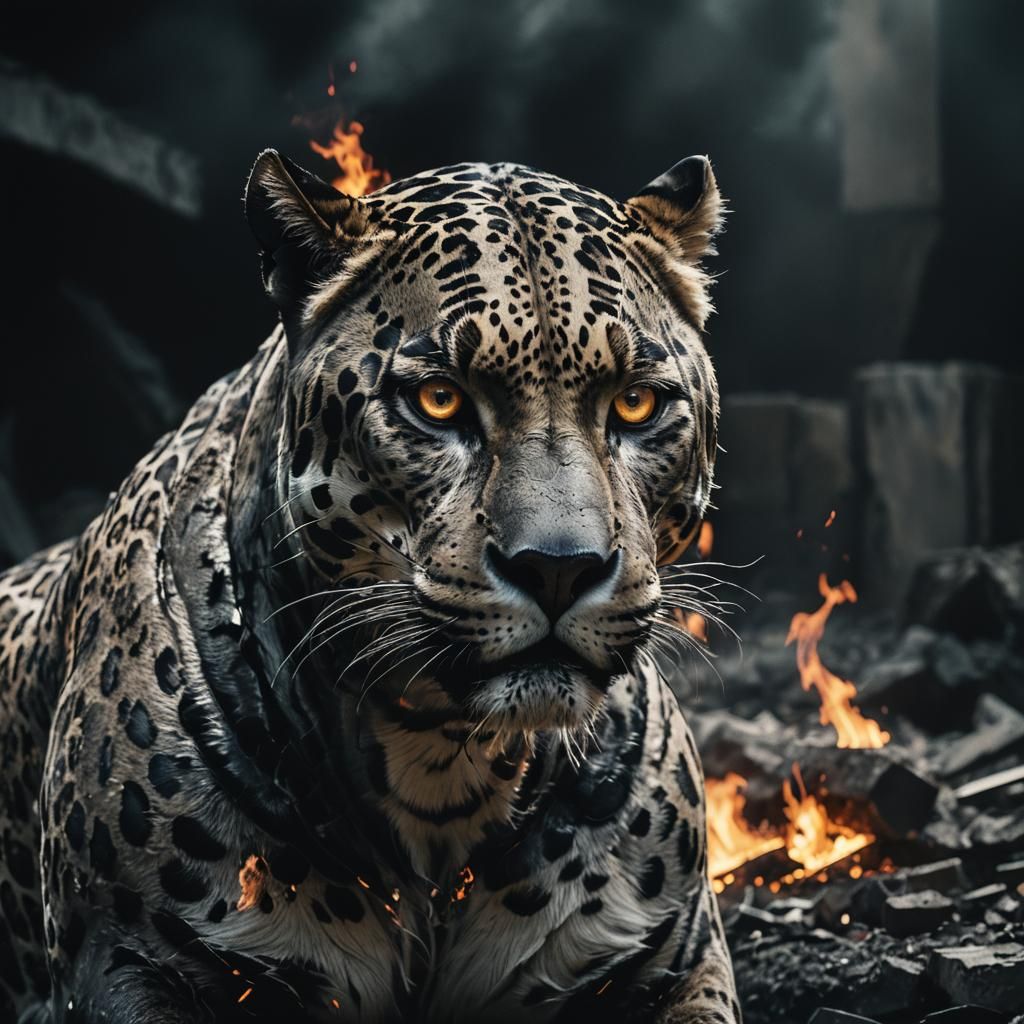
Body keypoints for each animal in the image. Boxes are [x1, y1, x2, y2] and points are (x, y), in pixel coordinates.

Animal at [0, 149, 741, 1023]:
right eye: (439, 400)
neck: (445, 762)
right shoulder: (129, 963)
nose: (559, 566)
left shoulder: (676, 960)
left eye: (635, 404)